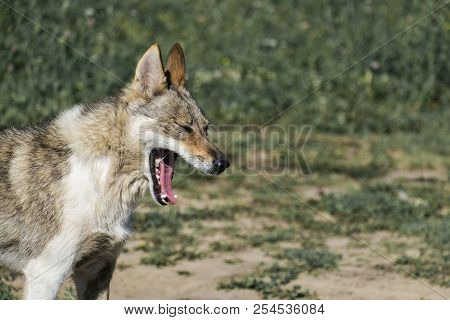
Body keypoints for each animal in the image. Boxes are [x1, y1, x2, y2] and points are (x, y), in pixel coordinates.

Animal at [0, 43, 230, 300]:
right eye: (184, 127)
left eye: (205, 129)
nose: (223, 163)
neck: (104, 179)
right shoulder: (46, 275)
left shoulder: (98, 271)